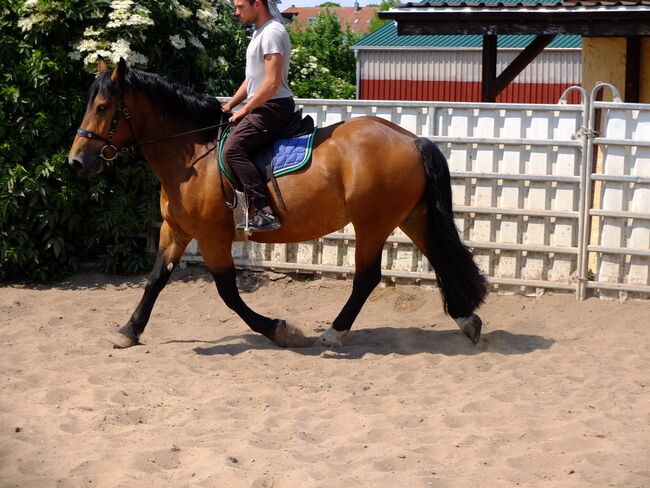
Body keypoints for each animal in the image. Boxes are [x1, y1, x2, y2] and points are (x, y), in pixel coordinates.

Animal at [69, 58, 486, 350]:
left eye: (103, 107)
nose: (76, 161)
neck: (192, 155)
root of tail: (411, 138)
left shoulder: (211, 237)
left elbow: (228, 293)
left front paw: (280, 330)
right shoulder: (177, 231)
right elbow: (155, 279)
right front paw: (129, 330)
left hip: (373, 224)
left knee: (367, 278)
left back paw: (334, 333)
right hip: (412, 217)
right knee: (440, 259)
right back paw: (467, 320)